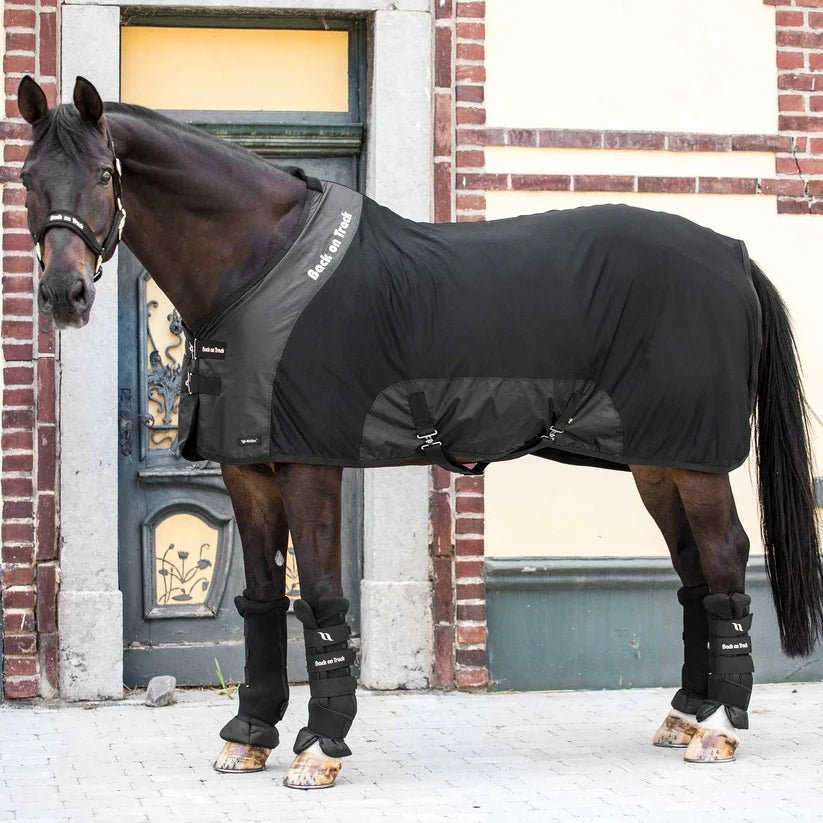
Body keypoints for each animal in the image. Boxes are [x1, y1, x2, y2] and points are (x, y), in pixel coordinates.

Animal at [16, 75, 822, 787]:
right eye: (26, 177)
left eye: (101, 173)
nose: (63, 293)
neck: (261, 269)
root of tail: (733, 254)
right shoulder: (248, 467)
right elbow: (263, 602)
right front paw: (248, 734)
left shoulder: (310, 462)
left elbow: (321, 596)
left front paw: (321, 747)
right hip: (659, 457)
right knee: (693, 571)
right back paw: (686, 713)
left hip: (697, 459)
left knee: (725, 557)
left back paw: (717, 728)